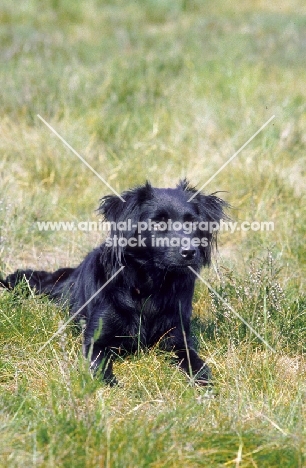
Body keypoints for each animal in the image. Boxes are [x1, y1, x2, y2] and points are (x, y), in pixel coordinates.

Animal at [0, 179, 227, 384]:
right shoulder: (96, 340)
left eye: (192, 222)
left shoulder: (178, 339)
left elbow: (194, 360)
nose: (190, 252)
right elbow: (99, 364)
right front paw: (108, 383)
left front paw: (203, 379)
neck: (150, 284)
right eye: (158, 222)